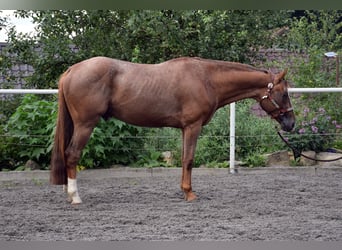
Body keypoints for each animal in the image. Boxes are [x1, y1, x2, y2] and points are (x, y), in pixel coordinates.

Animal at [49, 56, 296, 203]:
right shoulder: (192, 126)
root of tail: (72, 70)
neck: (206, 79)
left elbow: (184, 159)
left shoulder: (184, 129)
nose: (291, 123)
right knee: (72, 154)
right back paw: (75, 196)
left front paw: (184, 190)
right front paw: (190, 193)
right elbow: (189, 159)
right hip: (85, 125)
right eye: (284, 93)